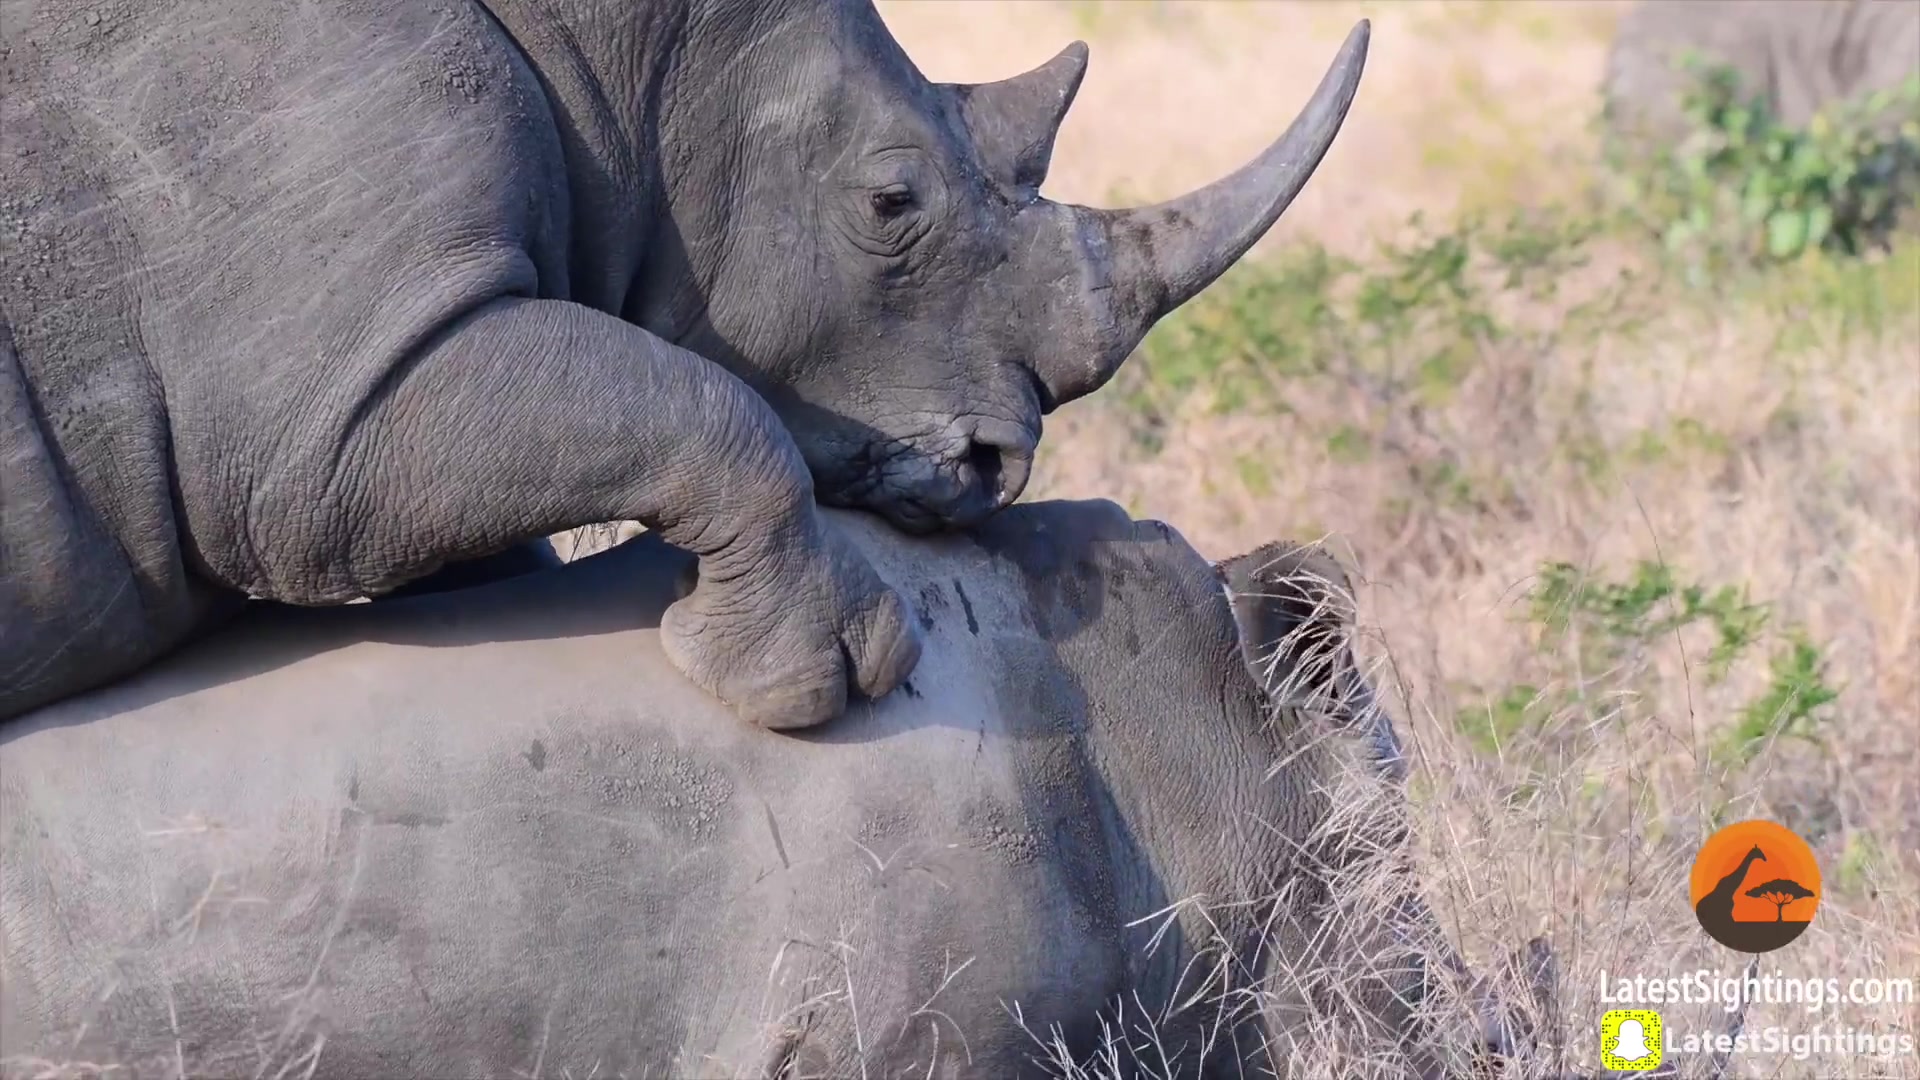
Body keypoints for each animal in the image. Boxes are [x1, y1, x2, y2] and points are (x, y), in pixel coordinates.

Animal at [0, 0, 1367, 730]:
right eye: (889, 202)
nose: (993, 468)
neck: (620, 52)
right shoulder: (317, 427)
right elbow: (699, 404)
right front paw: (824, 685)